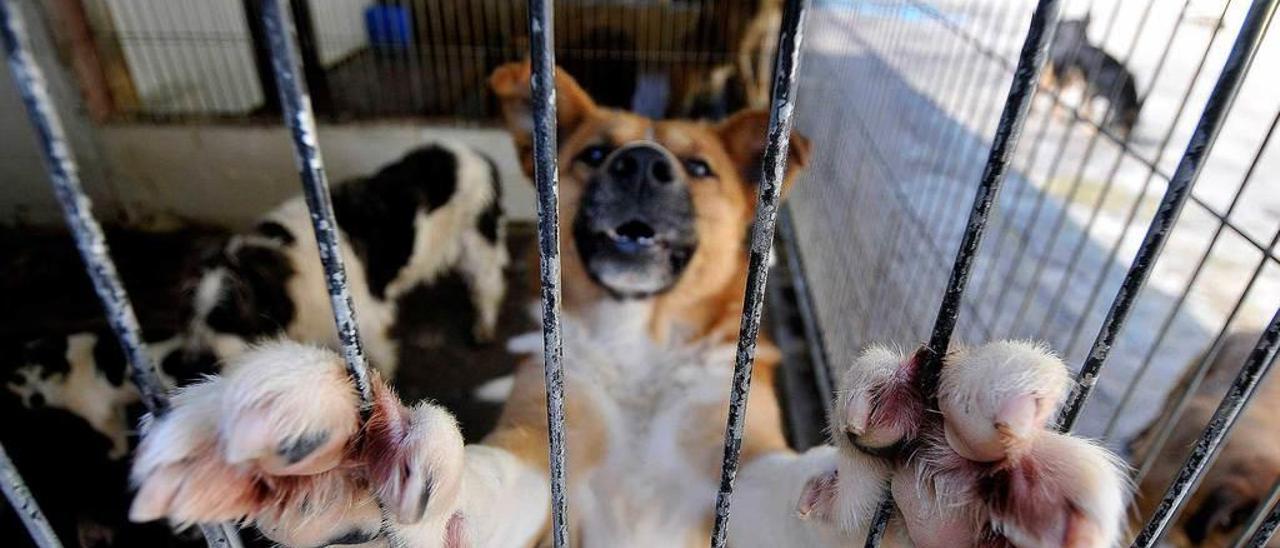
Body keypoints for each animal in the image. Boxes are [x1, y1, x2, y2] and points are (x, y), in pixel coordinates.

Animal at [171, 141, 509, 378]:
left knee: (488, 286)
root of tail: (477, 154)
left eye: (227, 317)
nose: (190, 366)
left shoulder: (364, 321)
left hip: (477, 242)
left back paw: (483, 327)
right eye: (190, 313)